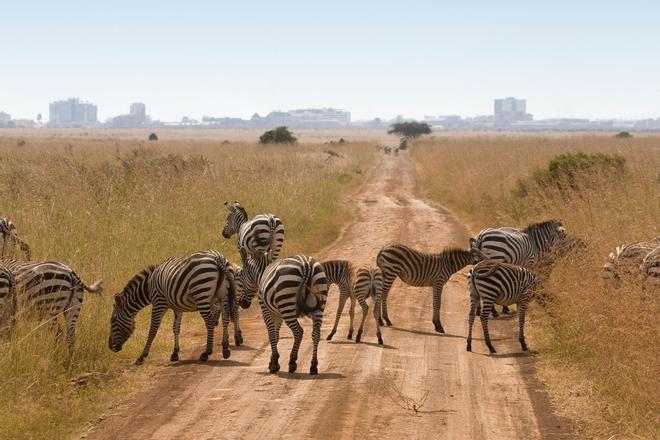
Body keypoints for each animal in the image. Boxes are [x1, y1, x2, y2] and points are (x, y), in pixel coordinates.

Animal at [109, 249, 238, 366]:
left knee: (210, 321)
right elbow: (176, 328)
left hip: (202, 292)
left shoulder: (158, 303)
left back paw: (206, 353)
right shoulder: (178, 308)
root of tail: (218, 257)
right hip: (223, 295)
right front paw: (175, 353)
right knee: (225, 319)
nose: (110, 347)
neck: (148, 287)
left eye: (113, 321)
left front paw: (141, 356)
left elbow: (153, 330)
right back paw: (225, 349)